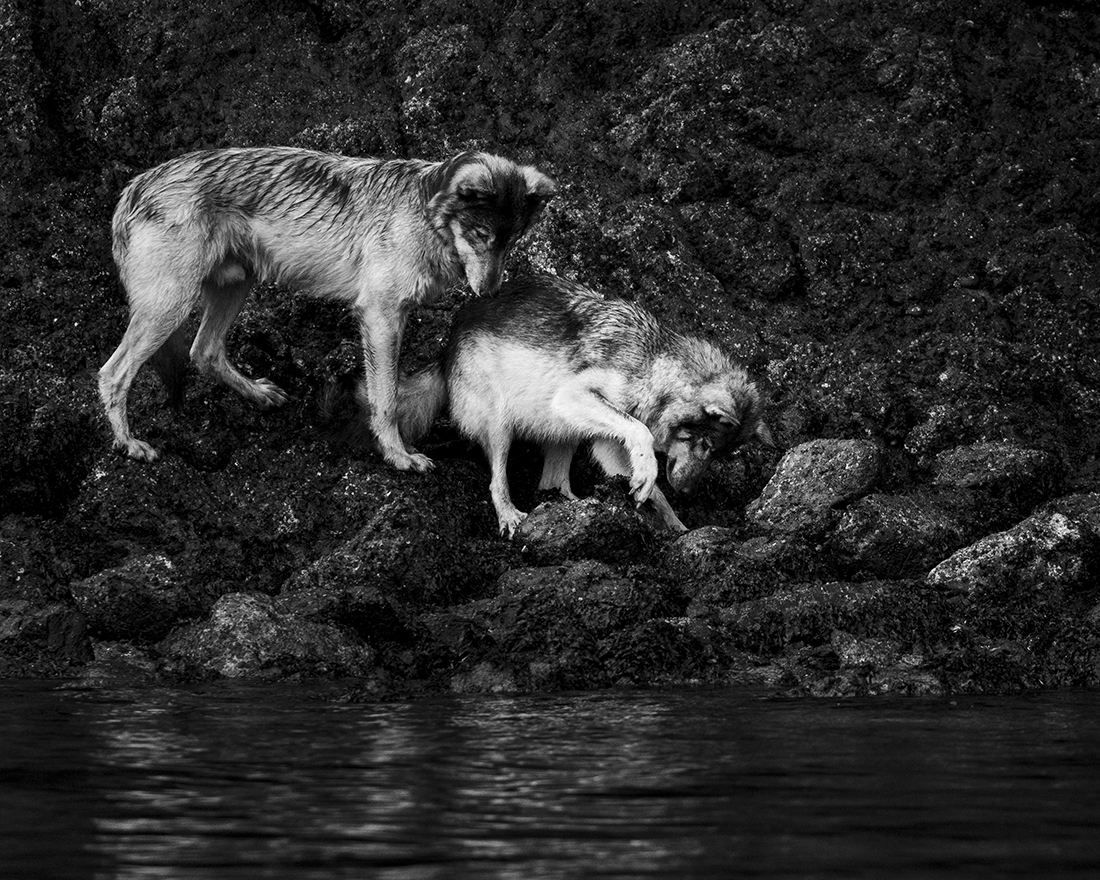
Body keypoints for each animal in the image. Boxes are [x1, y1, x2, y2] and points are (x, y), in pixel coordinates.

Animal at [99, 146, 557, 470]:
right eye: (480, 236)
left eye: (511, 242)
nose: (490, 293)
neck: (422, 214)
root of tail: (132, 187)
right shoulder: (380, 315)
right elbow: (386, 398)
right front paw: (399, 457)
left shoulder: (393, 316)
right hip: (171, 306)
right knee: (112, 373)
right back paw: (130, 445)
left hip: (234, 286)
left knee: (204, 351)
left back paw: (260, 395)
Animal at [398, 275, 772, 536]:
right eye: (705, 444)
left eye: (717, 455)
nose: (690, 492)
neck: (652, 363)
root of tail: (446, 346)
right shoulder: (573, 397)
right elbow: (642, 434)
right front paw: (651, 480)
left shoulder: (607, 444)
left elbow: (654, 491)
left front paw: (676, 527)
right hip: (502, 427)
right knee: (497, 481)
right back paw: (511, 517)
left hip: (566, 433)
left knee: (552, 484)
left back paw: (572, 508)